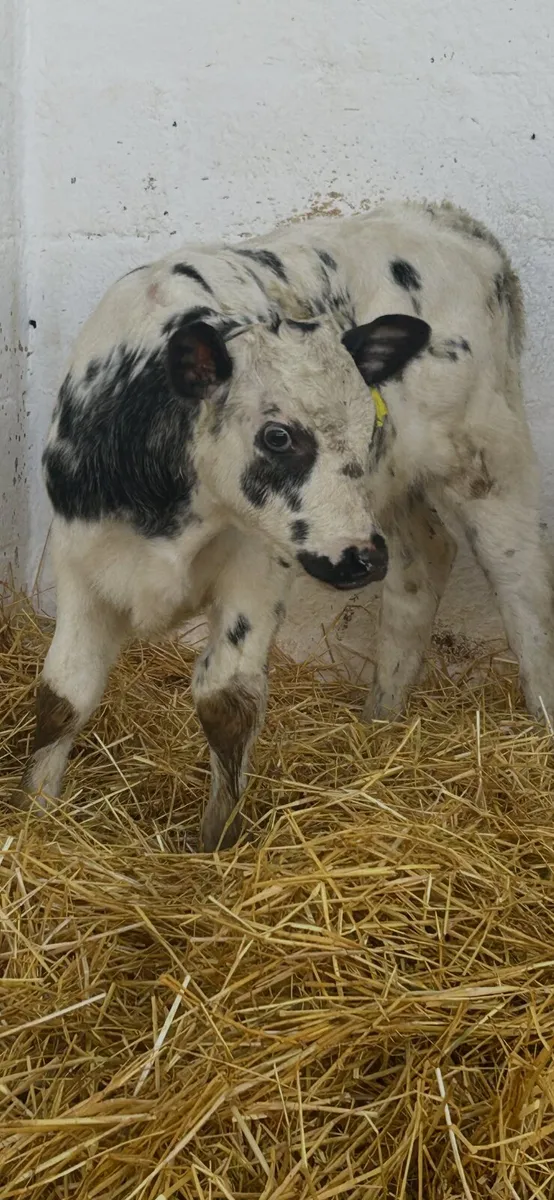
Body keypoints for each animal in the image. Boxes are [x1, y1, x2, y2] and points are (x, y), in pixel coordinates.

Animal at [13, 201, 554, 851]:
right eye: (278, 436)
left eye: (366, 425)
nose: (362, 557)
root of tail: (446, 219)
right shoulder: (80, 564)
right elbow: (63, 694)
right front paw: (34, 814)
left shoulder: (257, 570)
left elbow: (228, 700)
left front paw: (215, 844)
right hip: (391, 496)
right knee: (424, 560)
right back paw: (380, 723)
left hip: (489, 461)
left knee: (523, 583)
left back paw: (542, 720)